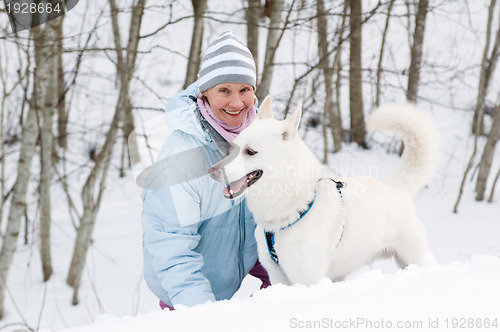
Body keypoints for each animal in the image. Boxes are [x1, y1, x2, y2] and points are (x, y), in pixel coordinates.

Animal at [209, 96, 436, 286]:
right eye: (234, 147)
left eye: (250, 152)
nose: (211, 170)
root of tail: (396, 186)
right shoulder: (278, 278)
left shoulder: (308, 279)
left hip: (411, 257)